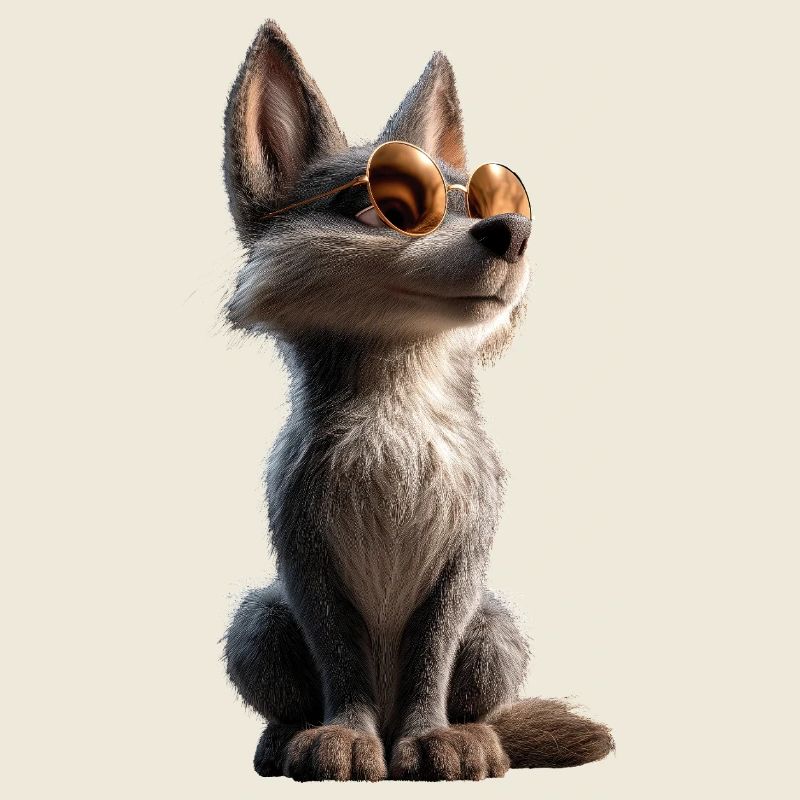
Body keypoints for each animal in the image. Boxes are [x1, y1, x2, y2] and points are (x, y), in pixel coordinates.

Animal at [222, 20, 613, 781]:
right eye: (385, 207)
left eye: (491, 202)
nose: (514, 233)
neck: (398, 421)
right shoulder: (303, 550)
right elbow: (338, 653)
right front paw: (343, 736)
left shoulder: (466, 552)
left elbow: (435, 647)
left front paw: (433, 739)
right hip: (255, 621)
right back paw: (287, 736)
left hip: (498, 630)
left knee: (482, 696)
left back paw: (475, 734)